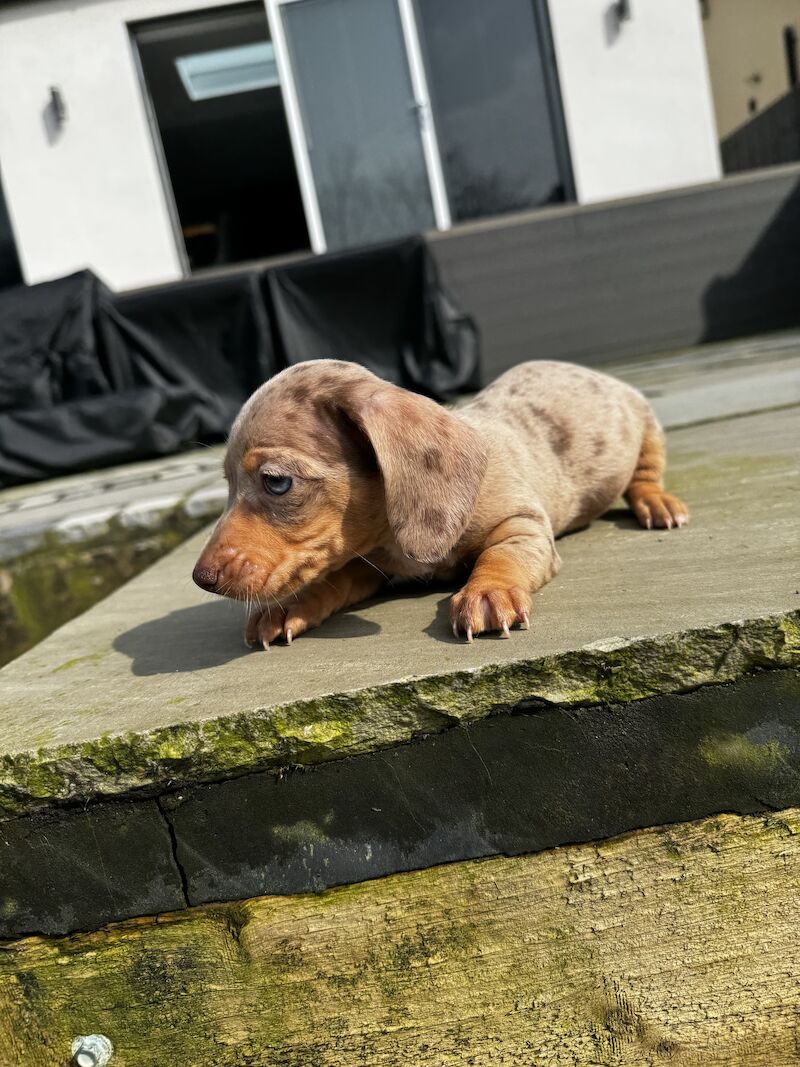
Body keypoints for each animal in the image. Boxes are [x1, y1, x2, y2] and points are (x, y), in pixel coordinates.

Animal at [193, 358, 691, 644]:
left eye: (276, 482)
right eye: (227, 482)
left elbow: (501, 555)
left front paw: (487, 591)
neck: (392, 538)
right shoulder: (364, 563)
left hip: (646, 426)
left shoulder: (523, 524)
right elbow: (331, 580)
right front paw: (289, 607)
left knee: (645, 476)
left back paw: (658, 503)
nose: (201, 579)